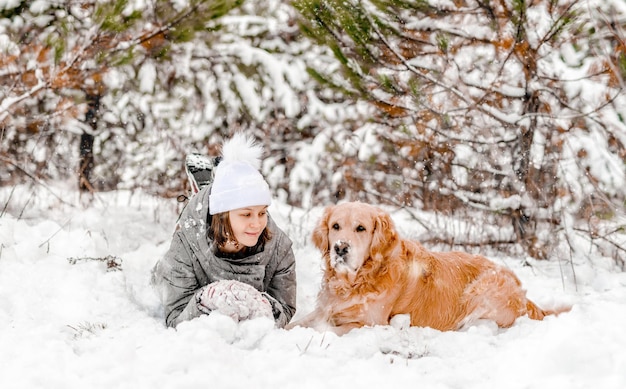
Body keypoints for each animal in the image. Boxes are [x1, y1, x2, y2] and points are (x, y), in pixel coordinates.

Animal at [286, 200, 568, 334]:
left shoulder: (370, 323)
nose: (340, 248)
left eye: (361, 228)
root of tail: (525, 297)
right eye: (335, 226)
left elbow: (326, 330)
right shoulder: (324, 309)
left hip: (483, 289)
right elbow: (298, 323)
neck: (357, 280)